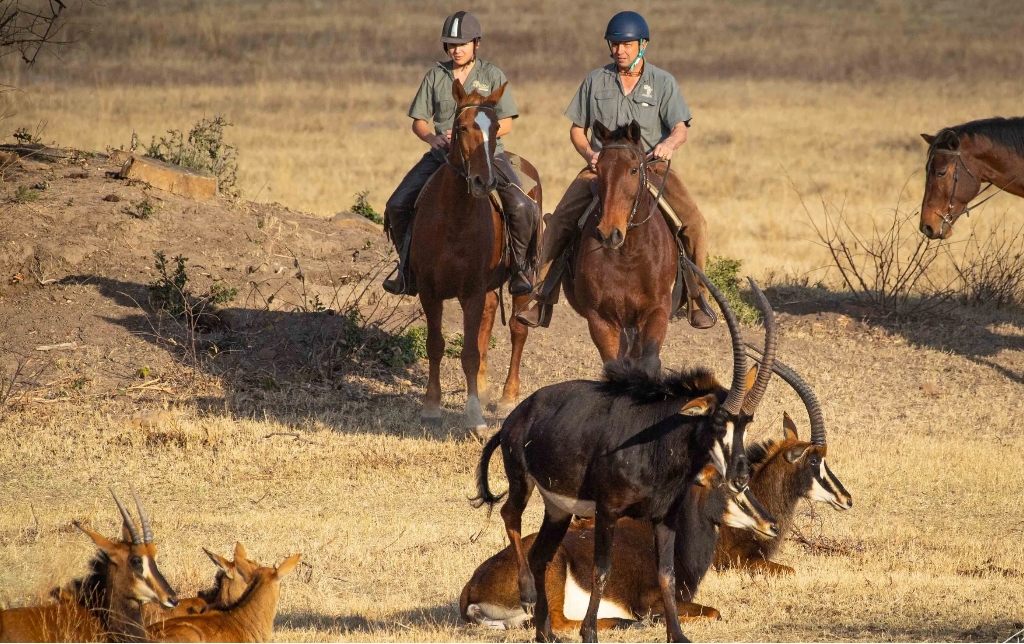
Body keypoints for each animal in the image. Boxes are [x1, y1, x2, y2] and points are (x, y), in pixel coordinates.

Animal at [409, 79, 541, 434]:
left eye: (494, 127)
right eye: (463, 127)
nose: (485, 181)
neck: (454, 217)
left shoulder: (472, 291)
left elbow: (468, 353)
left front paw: (475, 417)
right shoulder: (429, 290)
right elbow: (436, 344)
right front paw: (430, 406)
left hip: (522, 280)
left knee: (517, 329)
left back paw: (507, 396)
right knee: (490, 319)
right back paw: (482, 387)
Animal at [562, 120, 678, 374]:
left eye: (633, 169)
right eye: (599, 169)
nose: (609, 233)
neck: (629, 254)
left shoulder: (657, 310)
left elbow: (650, 361)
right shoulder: (600, 320)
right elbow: (613, 366)